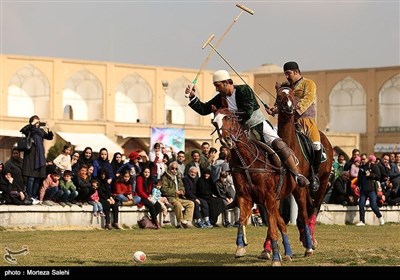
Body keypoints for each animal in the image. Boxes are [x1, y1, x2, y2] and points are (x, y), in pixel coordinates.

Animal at [212, 108, 312, 266]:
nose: (225, 140)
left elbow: (272, 228)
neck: (247, 162)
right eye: (214, 122)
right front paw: (240, 246)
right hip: (275, 200)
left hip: (298, 191)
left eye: (229, 117)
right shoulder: (246, 196)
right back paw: (288, 253)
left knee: (303, 215)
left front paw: (275, 259)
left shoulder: (268, 198)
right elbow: (242, 219)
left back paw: (308, 248)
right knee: (282, 223)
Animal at [276, 86, 334, 248]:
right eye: (279, 96)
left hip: (323, 181)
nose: (289, 108)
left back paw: (311, 238)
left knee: (314, 207)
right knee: (307, 208)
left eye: (292, 96)